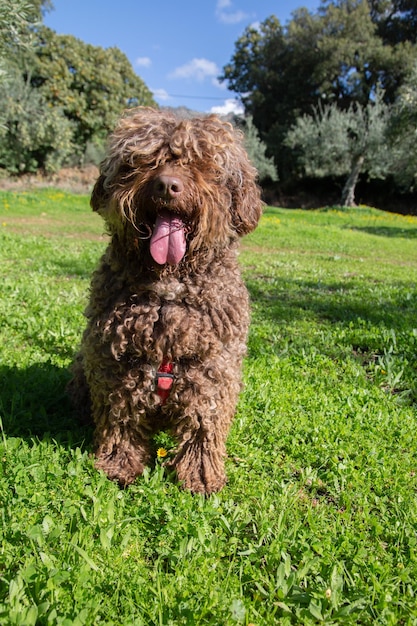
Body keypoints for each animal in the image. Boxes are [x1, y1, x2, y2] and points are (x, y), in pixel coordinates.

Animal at [69, 109, 262, 494]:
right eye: (143, 160)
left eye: (201, 163)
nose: (167, 186)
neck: (167, 293)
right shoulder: (116, 363)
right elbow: (121, 418)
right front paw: (118, 465)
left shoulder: (212, 370)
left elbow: (204, 423)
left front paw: (200, 475)